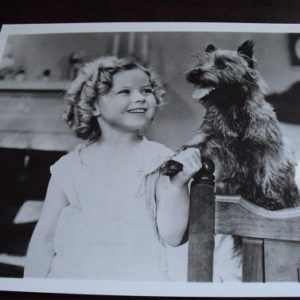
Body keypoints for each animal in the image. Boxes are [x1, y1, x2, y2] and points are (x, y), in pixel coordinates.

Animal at [164, 40, 300, 211]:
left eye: (222, 64)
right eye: (200, 62)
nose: (195, 72)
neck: (232, 109)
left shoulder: (270, 148)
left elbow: (271, 173)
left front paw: (270, 200)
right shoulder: (208, 135)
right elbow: (191, 146)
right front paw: (173, 162)